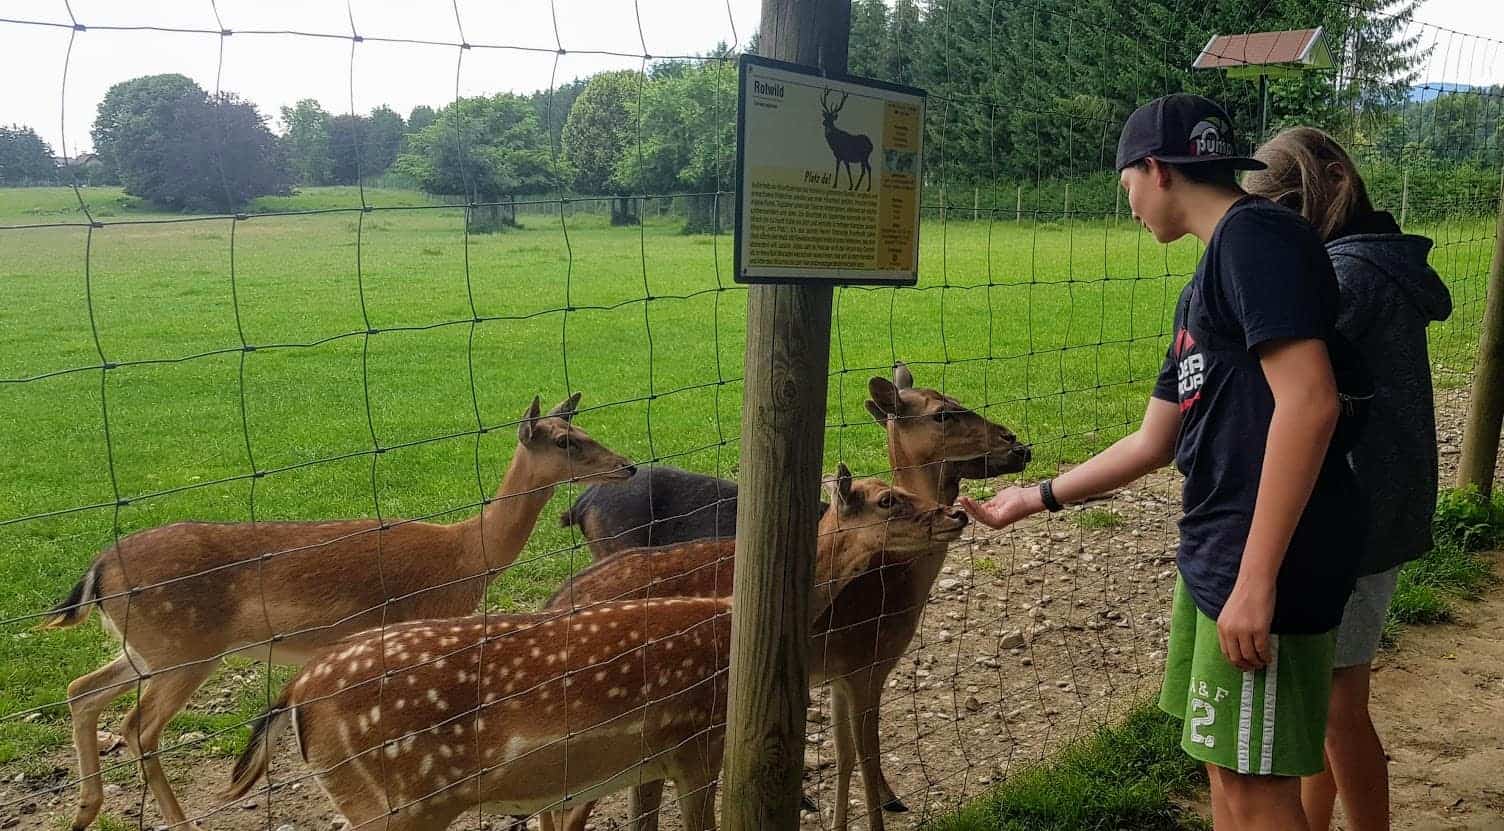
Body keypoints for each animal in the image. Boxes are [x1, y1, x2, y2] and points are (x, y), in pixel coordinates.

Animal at [38, 396, 631, 829]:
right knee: (135, 727)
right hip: (184, 649)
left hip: (145, 648)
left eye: (582, 428)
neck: (466, 558)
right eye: (567, 440)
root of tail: (97, 570)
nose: (627, 466)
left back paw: (85, 811)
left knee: (81, 691)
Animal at [225, 465, 974, 829]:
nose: (956, 514)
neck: (730, 621)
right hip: (397, 798)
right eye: (887, 499)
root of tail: (291, 695)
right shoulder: (696, 743)